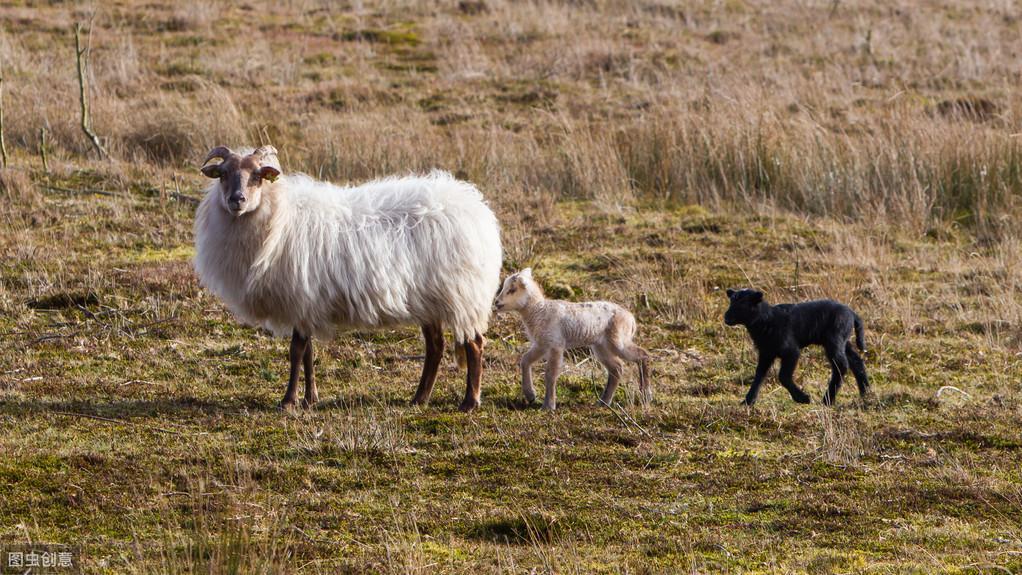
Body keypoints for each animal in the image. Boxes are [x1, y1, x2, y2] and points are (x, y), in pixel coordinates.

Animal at [192, 146, 502, 412]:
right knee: (435, 347)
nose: (237, 200)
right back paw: (419, 399)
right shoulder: (305, 304)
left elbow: (296, 351)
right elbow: (307, 352)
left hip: (463, 295)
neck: (278, 217)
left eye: (258, 176)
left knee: (474, 344)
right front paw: (310, 398)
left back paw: (470, 402)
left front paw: (289, 401)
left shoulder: (302, 296)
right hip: (430, 299)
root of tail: (476, 208)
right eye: (223, 175)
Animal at [492, 267, 649, 412]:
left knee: (642, 355)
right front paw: (531, 395)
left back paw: (646, 395)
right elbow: (525, 360)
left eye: (512, 289)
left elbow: (550, 374)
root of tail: (631, 318)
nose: (496, 302)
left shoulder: (555, 344)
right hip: (601, 346)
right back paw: (604, 402)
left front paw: (548, 406)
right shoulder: (541, 344)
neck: (538, 311)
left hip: (618, 340)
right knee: (617, 368)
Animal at [719, 288, 870, 404]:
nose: (726, 317)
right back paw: (866, 393)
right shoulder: (766, 352)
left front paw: (803, 398)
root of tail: (852, 313)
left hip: (834, 338)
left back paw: (828, 400)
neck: (767, 320)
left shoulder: (791, 351)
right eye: (731, 301)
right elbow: (759, 375)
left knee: (841, 365)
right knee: (856, 361)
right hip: (843, 340)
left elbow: (783, 376)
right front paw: (748, 401)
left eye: (743, 303)